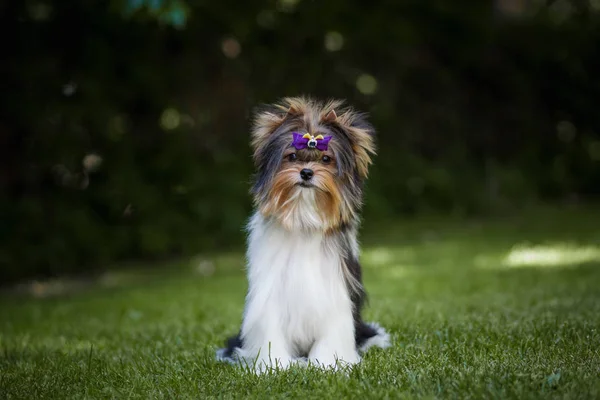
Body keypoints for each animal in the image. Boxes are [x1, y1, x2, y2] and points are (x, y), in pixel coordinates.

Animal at [216, 97, 390, 372]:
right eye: (293, 156)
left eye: (327, 159)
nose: (306, 172)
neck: (303, 216)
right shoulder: (270, 294)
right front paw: (273, 365)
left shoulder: (334, 293)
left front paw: (327, 364)